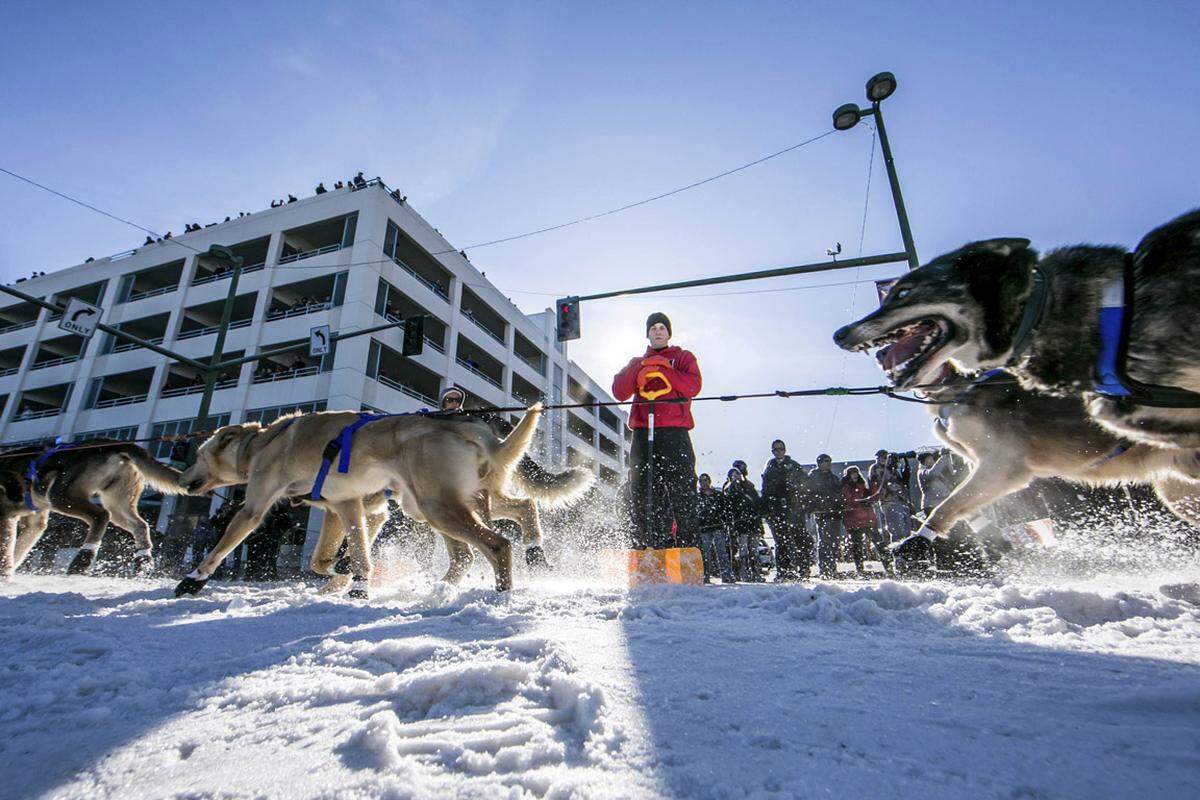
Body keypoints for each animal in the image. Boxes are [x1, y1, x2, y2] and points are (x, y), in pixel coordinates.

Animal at [175, 407, 540, 599]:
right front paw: (346, 579)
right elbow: (330, 558)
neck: (263, 443)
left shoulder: (254, 507)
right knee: (514, 515)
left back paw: (503, 591)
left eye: (199, 455)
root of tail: (464, 426)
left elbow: (222, 545)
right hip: (434, 503)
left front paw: (194, 579)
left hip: (438, 507)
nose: (180, 479)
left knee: (498, 544)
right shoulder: (346, 508)